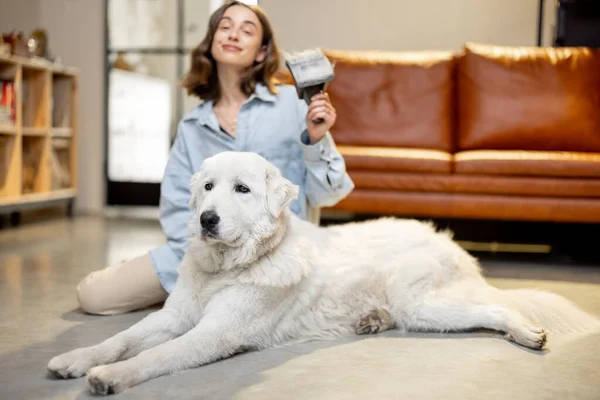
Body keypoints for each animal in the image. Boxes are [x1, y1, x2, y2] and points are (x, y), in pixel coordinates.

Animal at [47, 150, 600, 394]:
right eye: (206, 187)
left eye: (242, 189)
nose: (207, 220)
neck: (230, 268)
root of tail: (448, 242)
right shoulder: (174, 316)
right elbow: (119, 339)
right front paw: (76, 360)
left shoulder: (215, 333)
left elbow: (156, 356)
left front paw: (111, 377)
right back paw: (371, 320)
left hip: (425, 304)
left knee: (498, 308)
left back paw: (525, 332)